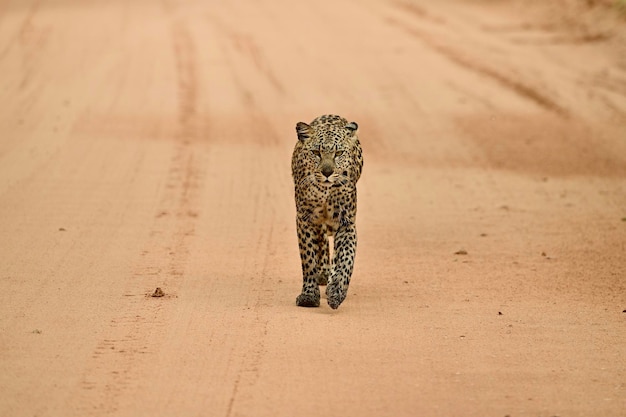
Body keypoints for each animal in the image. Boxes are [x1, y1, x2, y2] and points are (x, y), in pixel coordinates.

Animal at [292, 114, 364, 308]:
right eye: (316, 153)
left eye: (338, 154)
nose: (327, 172)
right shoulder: (305, 220)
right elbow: (308, 258)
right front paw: (309, 295)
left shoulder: (346, 222)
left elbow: (346, 258)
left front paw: (337, 291)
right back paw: (323, 273)